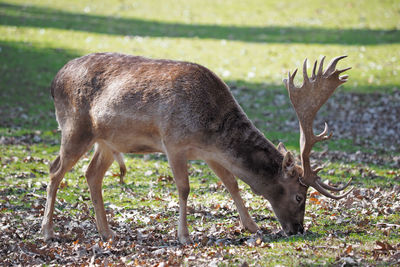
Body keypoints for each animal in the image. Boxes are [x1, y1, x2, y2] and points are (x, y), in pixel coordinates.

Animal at [42, 52, 352, 245]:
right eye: (300, 196)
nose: (297, 229)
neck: (210, 128)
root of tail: (54, 82)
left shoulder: (210, 154)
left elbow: (232, 183)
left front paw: (252, 226)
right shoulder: (173, 142)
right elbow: (184, 188)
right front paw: (184, 236)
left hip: (107, 141)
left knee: (91, 174)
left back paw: (106, 233)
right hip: (75, 127)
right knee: (54, 169)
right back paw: (47, 231)